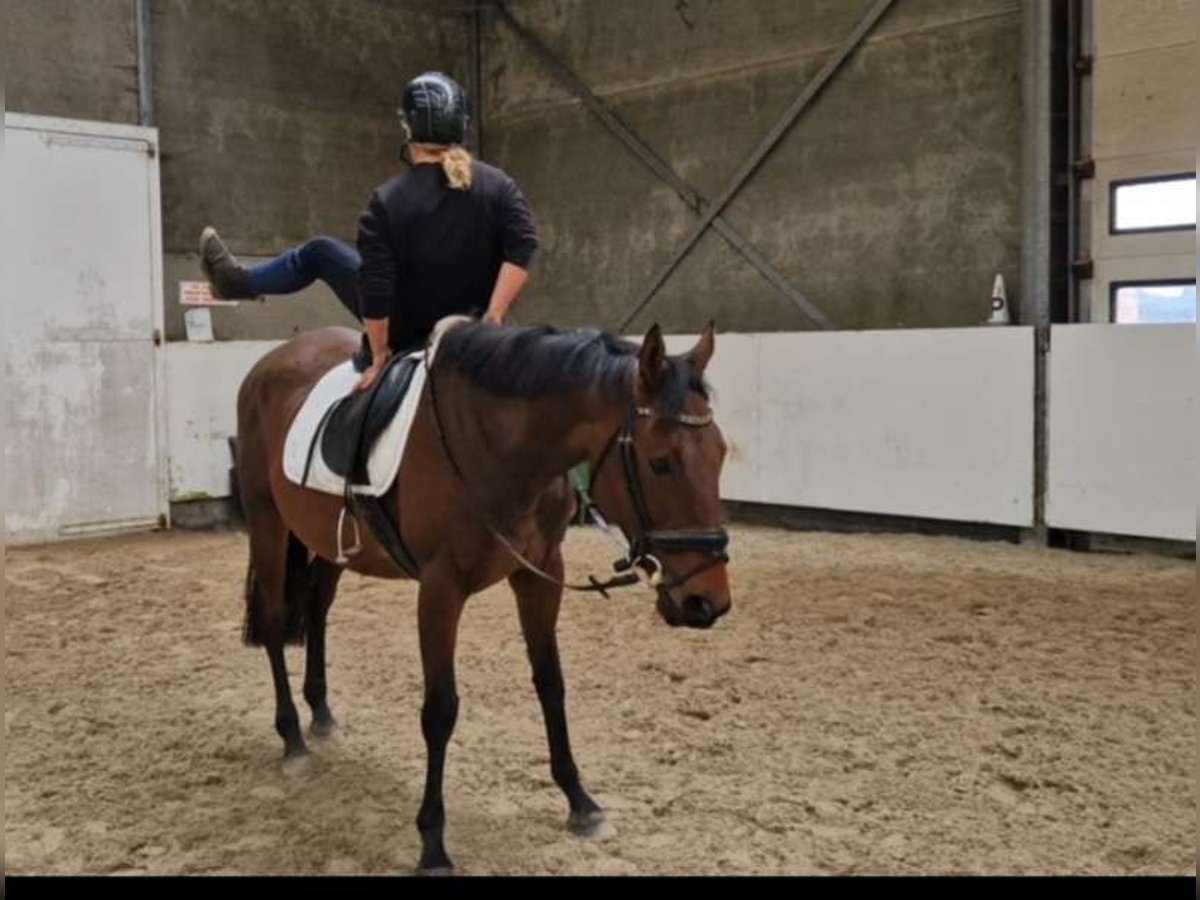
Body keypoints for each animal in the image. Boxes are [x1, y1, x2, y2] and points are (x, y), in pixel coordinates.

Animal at [231, 316, 729, 873]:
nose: (707, 602)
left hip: (328, 541)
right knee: (276, 621)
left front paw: (580, 802)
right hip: (268, 522)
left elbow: (551, 684)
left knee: (317, 609)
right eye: (661, 463)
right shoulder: (440, 588)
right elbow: (440, 710)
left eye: (721, 454)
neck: (499, 447)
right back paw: (292, 737)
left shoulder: (540, 574)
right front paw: (432, 842)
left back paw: (319, 712)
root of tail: (271, 360)